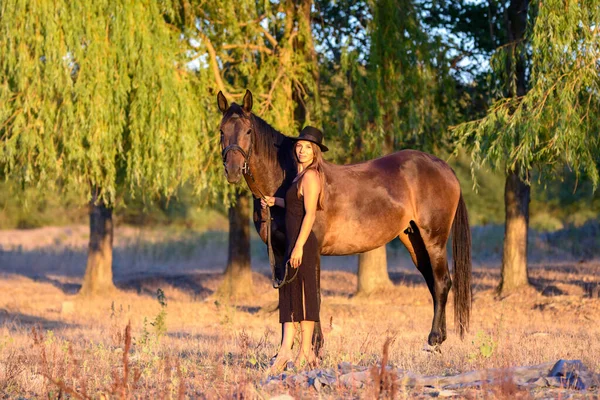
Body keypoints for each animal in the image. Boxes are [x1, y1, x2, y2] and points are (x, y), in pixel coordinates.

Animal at [218, 88, 472, 346]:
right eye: (221, 130)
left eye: (248, 131)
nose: (233, 170)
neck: (286, 182)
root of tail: (444, 168)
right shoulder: (280, 253)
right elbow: (286, 298)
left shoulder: (308, 251)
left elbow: (313, 295)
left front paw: (316, 345)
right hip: (413, 240)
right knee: (433, 282)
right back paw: (440, 338)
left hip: (434, 239)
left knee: (441, 282)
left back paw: (435, 338)